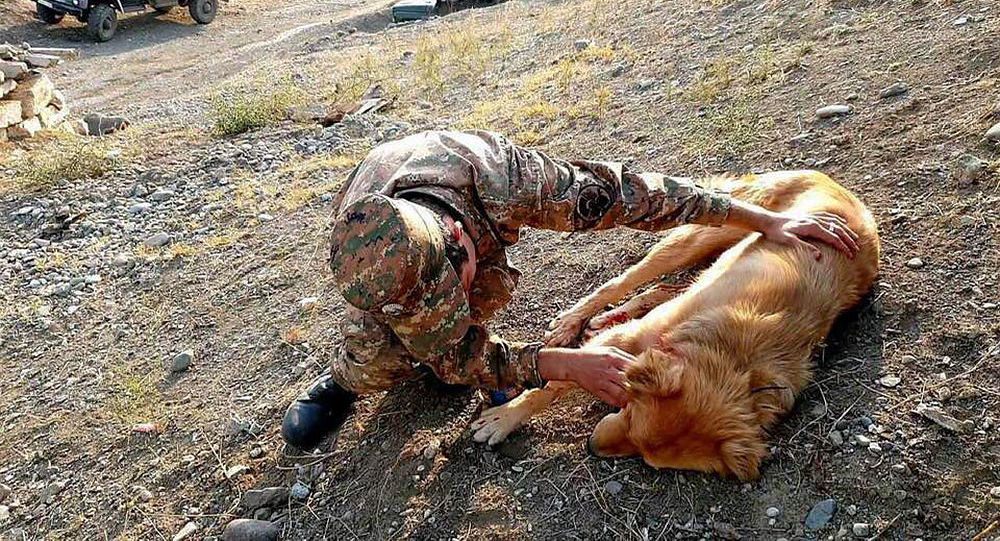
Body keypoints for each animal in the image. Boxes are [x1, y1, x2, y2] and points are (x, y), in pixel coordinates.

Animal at [472, 171, 880, 478]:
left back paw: (606, 316)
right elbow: (554, 385)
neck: (729, 357)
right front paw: (504, 418)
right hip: (700, 235)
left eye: (642, 453)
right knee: (624, 280)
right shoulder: (630, 339)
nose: (590, 447)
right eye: (629, 413)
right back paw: (574, 320)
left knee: (666, 287)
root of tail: (827, 178)